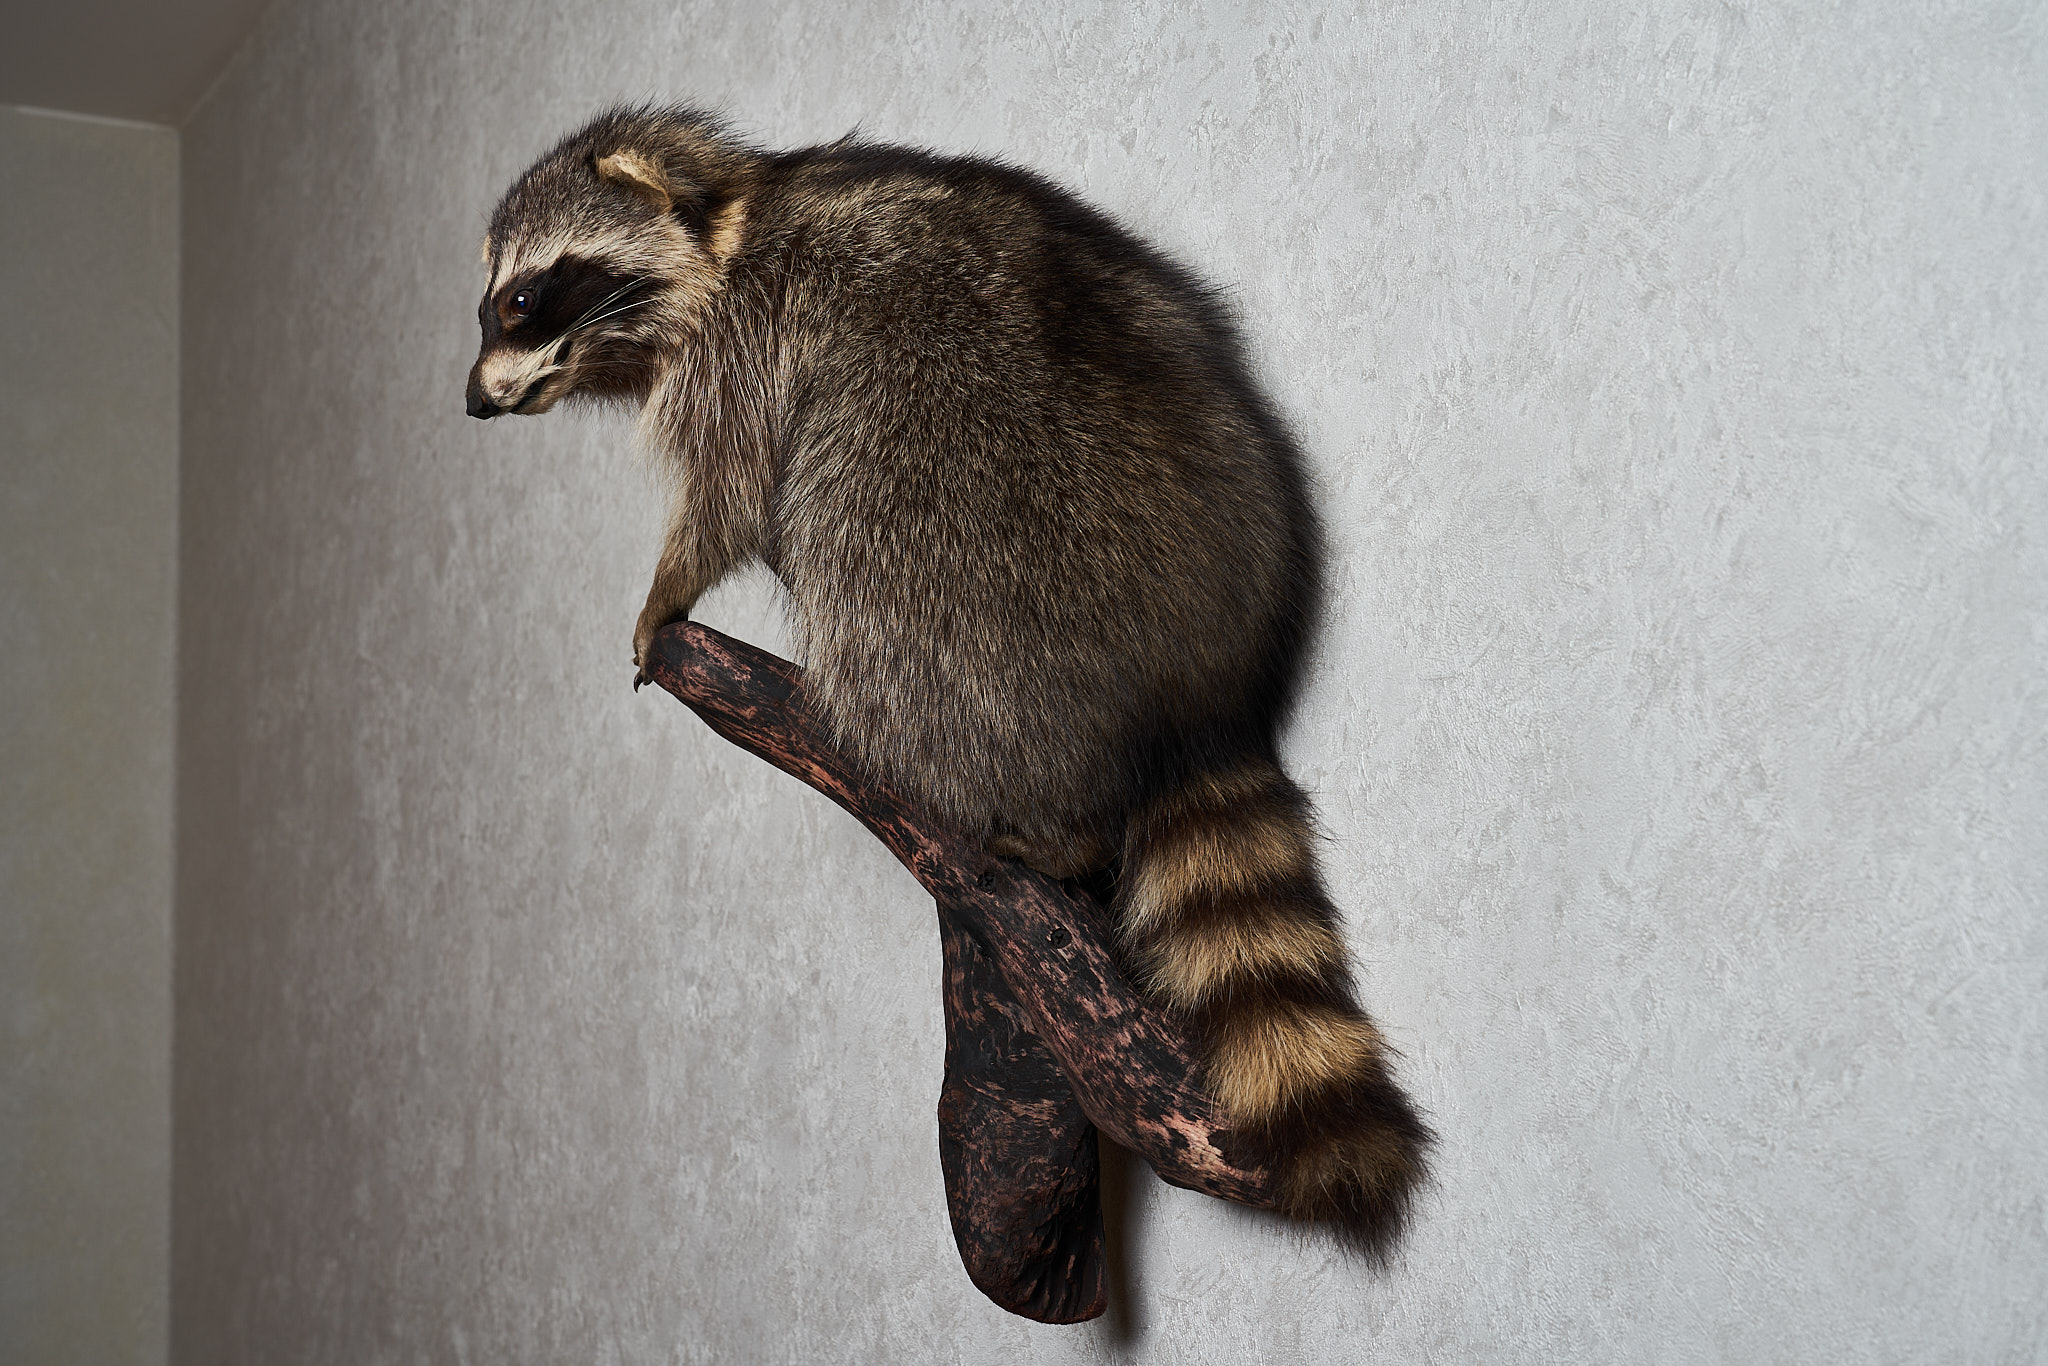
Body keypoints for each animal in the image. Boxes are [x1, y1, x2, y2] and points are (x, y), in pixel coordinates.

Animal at [467, 105, 1431, 1257]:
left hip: (957, 517)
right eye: (488, 304)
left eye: (523, 300)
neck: (726, 226)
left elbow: (731, 492)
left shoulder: (747, 347)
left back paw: (1053, 829)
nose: (469, 403)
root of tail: (1197, 698)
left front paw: (666, 591)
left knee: (861, 544)